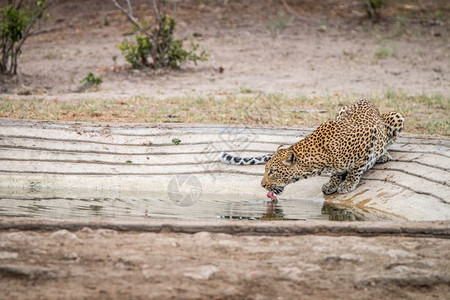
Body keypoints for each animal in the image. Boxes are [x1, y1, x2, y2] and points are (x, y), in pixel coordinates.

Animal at [221, 99, 404, 200]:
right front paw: (332, 183)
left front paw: (348, 183)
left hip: (397, 116)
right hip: (341, 110)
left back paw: (384, 155)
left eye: (272, 171)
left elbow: (357, 168)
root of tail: (368, 101)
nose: (262, 185)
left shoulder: (369, 136)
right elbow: (337, 172)